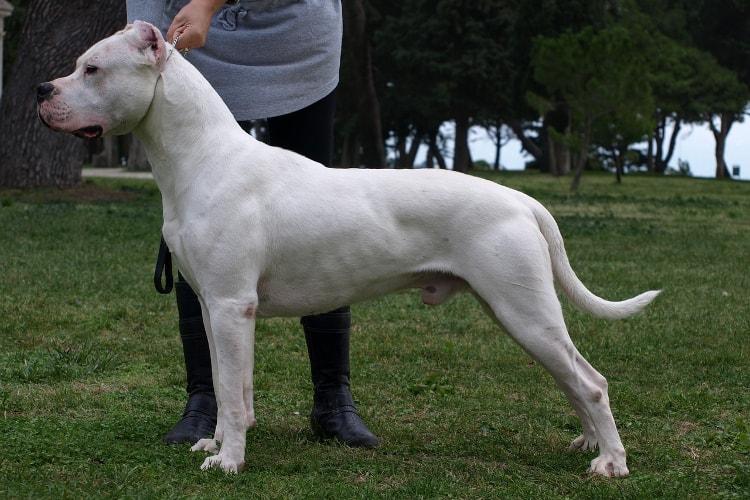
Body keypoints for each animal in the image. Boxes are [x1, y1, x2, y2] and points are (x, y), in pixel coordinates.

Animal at [36, 22, 656, 476]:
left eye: (92, 68)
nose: (43, 91)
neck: (201, 157)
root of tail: (522, 199)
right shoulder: (213, 308)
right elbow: (227, 384)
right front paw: (214, 445)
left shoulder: (233, 306)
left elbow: (233, 395)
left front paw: (229, 463)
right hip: (517, 312)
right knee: (574, 379)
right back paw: (588, 445)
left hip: (523, 309)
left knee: (591, 383)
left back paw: (612, 463)